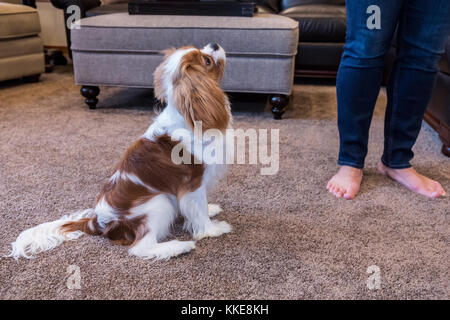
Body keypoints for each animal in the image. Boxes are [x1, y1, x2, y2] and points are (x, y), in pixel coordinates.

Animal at [8, 43, 234, 262]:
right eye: (207, 60)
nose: (214, 44)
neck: (187, 116)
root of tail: (96, 222)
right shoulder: (193, 182)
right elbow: (199, 211)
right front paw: (212, 230)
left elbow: (200, 206)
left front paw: (210, 209)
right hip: (158, 203)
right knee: (140, 247)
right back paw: (178, 247)